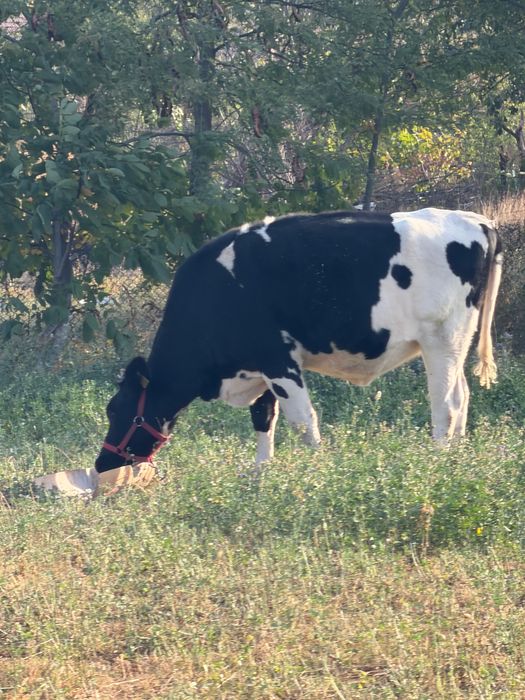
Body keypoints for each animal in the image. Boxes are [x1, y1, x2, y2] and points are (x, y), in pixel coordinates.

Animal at [95, 208, 502, 474]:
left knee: (445, 405)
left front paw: (316, 471)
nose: (102, 463)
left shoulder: (278, 360)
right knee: (462, 396)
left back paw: (437, 460)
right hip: (456, 342)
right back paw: (457, 457)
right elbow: (263, 417)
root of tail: (476, 221)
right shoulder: (259, 368)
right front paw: (260, 472)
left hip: (441, 338)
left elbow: (303, 421)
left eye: (115, 409)